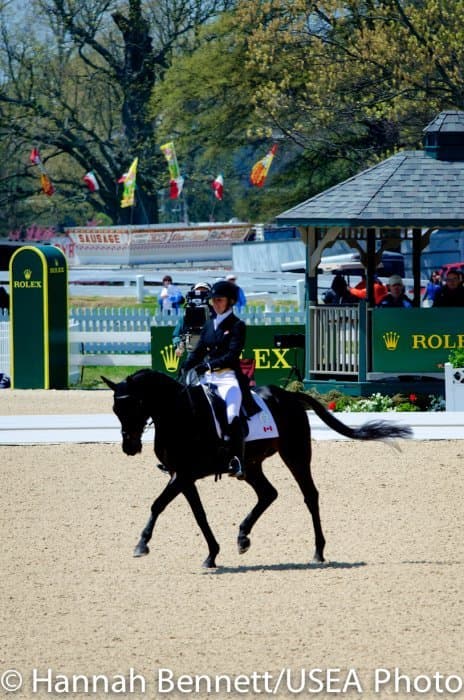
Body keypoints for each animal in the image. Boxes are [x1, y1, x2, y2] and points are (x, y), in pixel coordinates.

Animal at [103, 369, 412, 568]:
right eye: (116, 410)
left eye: (134, 405)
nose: (130, 446)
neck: (181, 414)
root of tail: (289, 395)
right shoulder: (183, 475)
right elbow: (198, 515)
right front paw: (212, 554)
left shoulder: (186, 474)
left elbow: (158, 504)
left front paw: (142, 545)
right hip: (251, 465)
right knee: (268, 494)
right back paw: (243, 537)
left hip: (296, 455)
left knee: (310, 496)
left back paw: (318, 552)